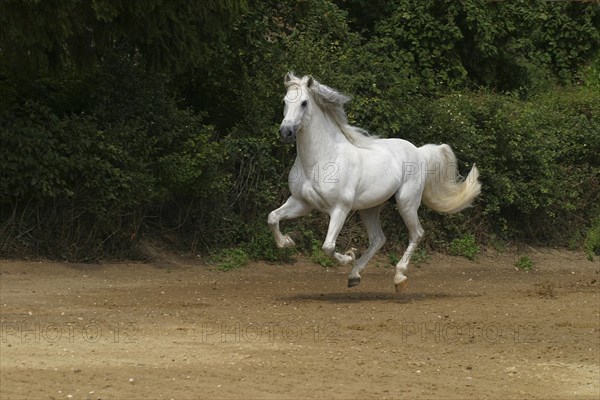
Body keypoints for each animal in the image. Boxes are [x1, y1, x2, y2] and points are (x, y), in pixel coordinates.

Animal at [270, 72, 480, 290]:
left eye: (304, 103)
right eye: (284, 101)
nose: (285, 132)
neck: (322, 158)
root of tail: (419, 152)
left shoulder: (340, 208)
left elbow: (328, 246)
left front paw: (349, 255)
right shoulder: (301, 203)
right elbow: (272, 217)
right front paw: (287, 242)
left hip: (406, 203)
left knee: (416, 233)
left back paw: (399, 277)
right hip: (369, 208)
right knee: (378, 239)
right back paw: (354, 275)